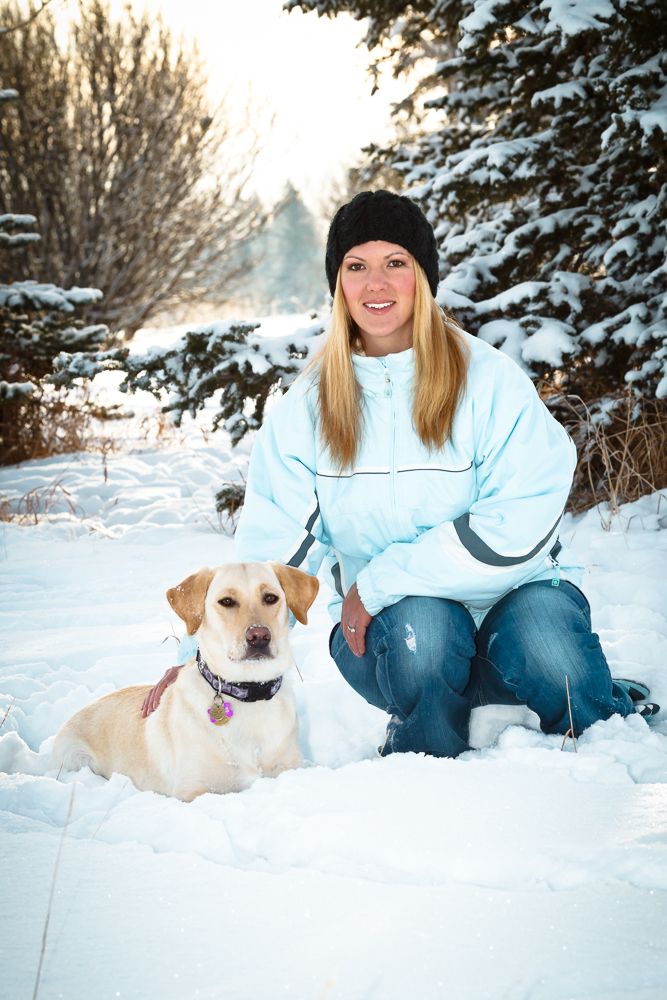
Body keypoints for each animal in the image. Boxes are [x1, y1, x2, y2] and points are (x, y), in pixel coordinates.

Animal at [49, 568, 318, 800]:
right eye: (227, 601)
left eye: (271, 598)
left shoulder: (288, 769)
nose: (259, 636)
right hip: (72, 758)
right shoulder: (192, 790)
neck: (249, 692)